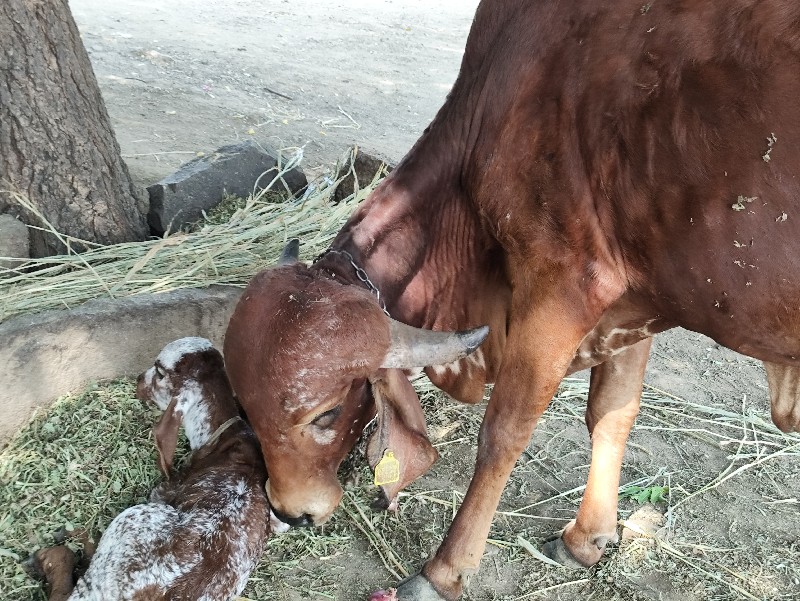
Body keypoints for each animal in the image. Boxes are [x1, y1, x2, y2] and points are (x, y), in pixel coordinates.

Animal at [223, 0, 800, 596]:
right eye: (241, 403)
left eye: (328, 412)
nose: (289, 511)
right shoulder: (633, 294)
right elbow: (612, 411)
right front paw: (586, 539)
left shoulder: (564, 286)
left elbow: (503, 433)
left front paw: (444, 570)